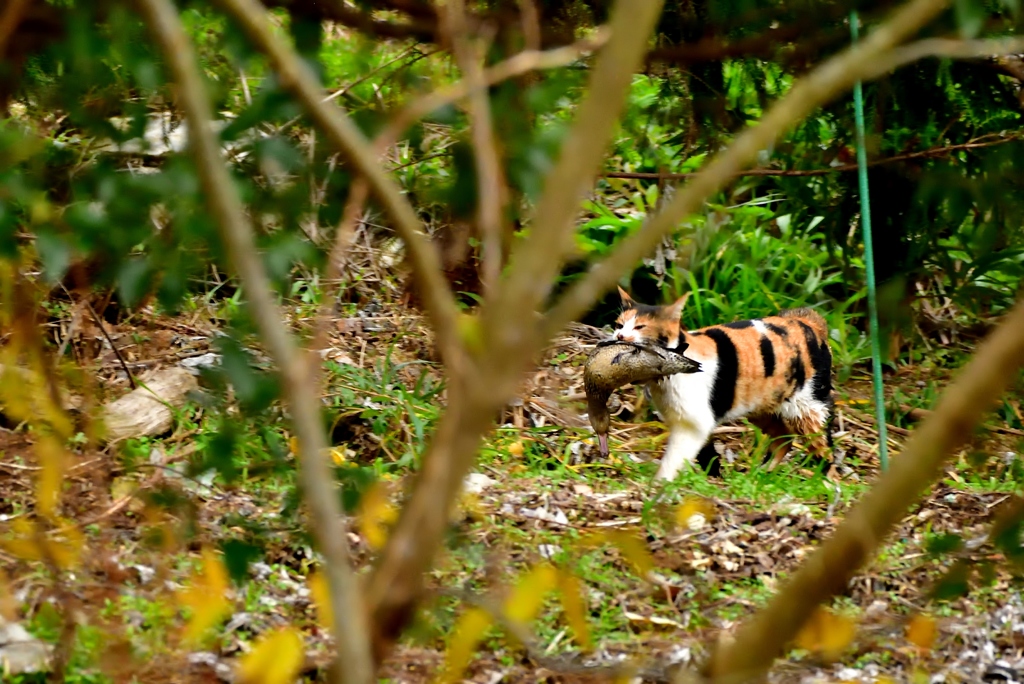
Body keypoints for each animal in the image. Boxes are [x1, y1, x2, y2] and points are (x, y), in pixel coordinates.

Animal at [610, 286, 835, 479]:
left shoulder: (697, 419)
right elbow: (706, 453)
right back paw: (760, 474)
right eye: (619, 325)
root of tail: (809, 323)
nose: (620, 335)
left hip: (809, 407)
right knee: (784, 439)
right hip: (760, 406)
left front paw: (661, 484)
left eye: (640, 326)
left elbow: (676, 458)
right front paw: (714, 477)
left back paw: (826, 483)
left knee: (824, 447)